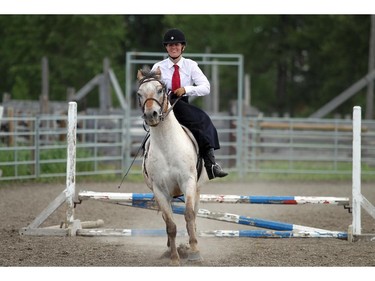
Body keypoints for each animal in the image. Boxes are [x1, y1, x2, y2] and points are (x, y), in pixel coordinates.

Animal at [137, 66, 209, 264]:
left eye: (160, 90)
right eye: (139, 93)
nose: (151, 115)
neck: (167, 146)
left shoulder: (188, 182)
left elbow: (189, 215)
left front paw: (195, 252)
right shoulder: (160, 190)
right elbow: (170, 224)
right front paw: (174, 258)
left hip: (197, 190)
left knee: (194, 216)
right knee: (166, 219)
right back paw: (171, 248)